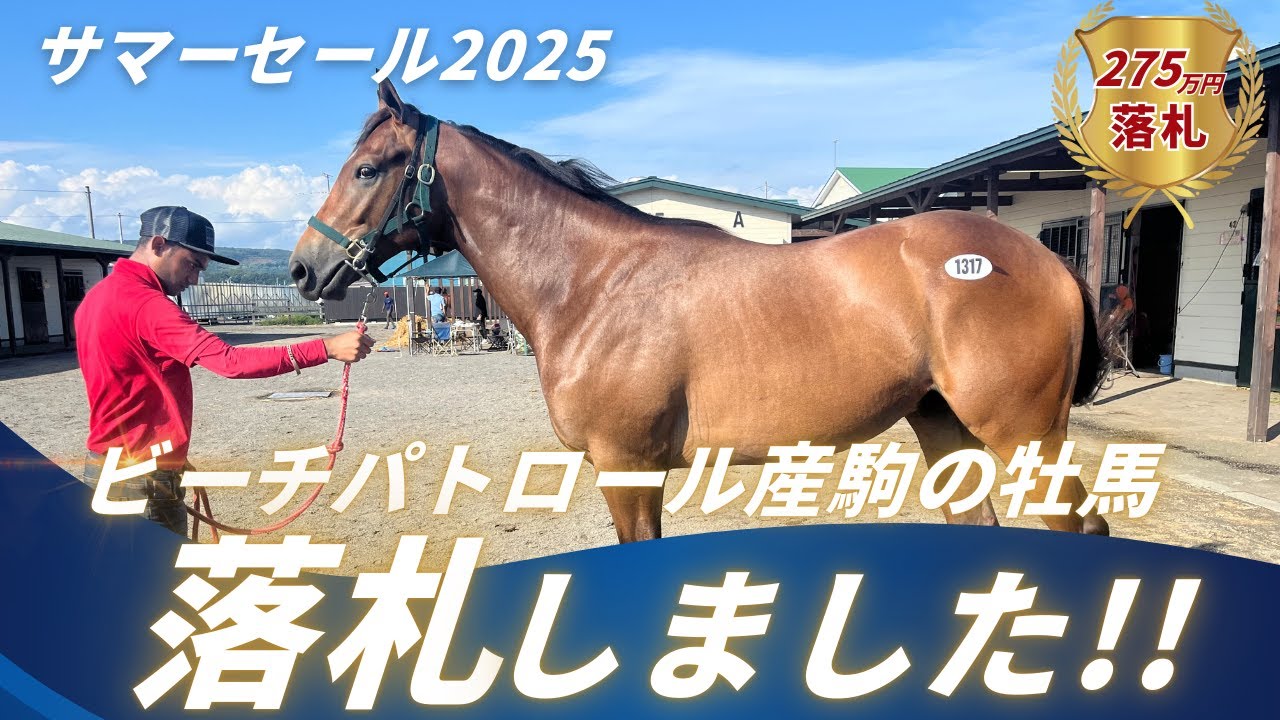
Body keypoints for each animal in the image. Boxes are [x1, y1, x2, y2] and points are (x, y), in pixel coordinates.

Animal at [289, 80, 1111, 542]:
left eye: (367, 170)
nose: (303, 268)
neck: (593, 283)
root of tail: (1044, 259)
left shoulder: (626, 466)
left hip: (1025, 435)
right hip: (943, 424)